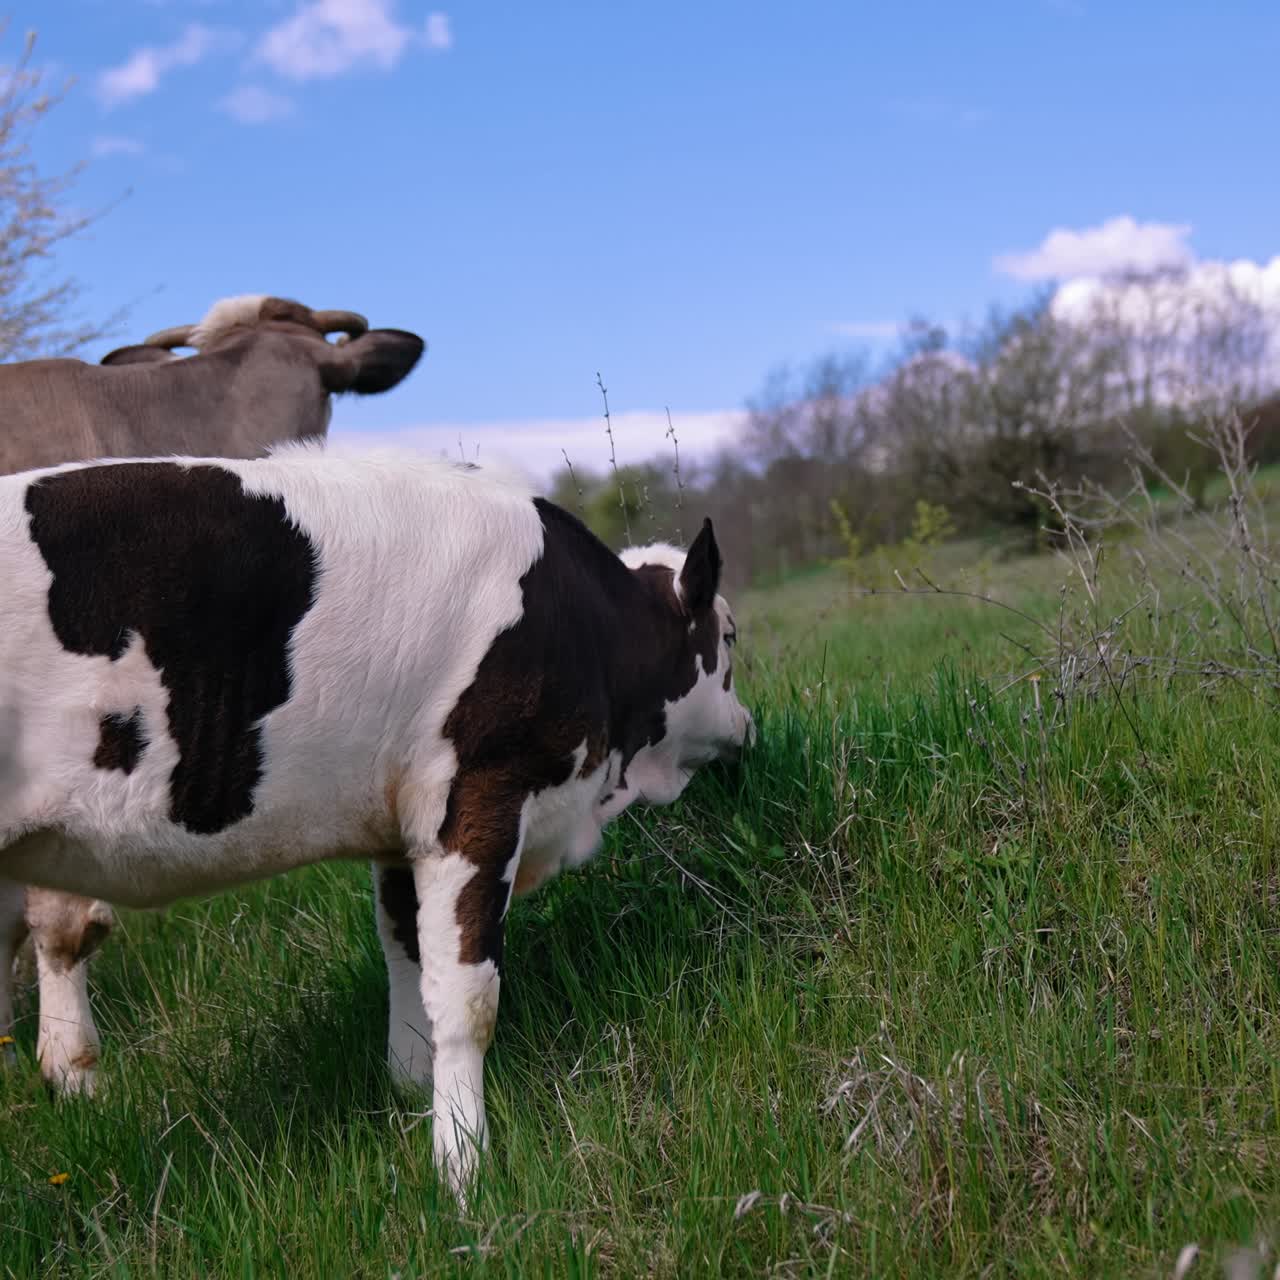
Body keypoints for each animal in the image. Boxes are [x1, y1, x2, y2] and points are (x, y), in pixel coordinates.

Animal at [0, 443, 754, 1202]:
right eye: (729, 636)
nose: (748, 727)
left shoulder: (404, 829)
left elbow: (408, 952)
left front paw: (411, 1093)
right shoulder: (482, 796)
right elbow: (468, 999)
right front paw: (462, 1168)